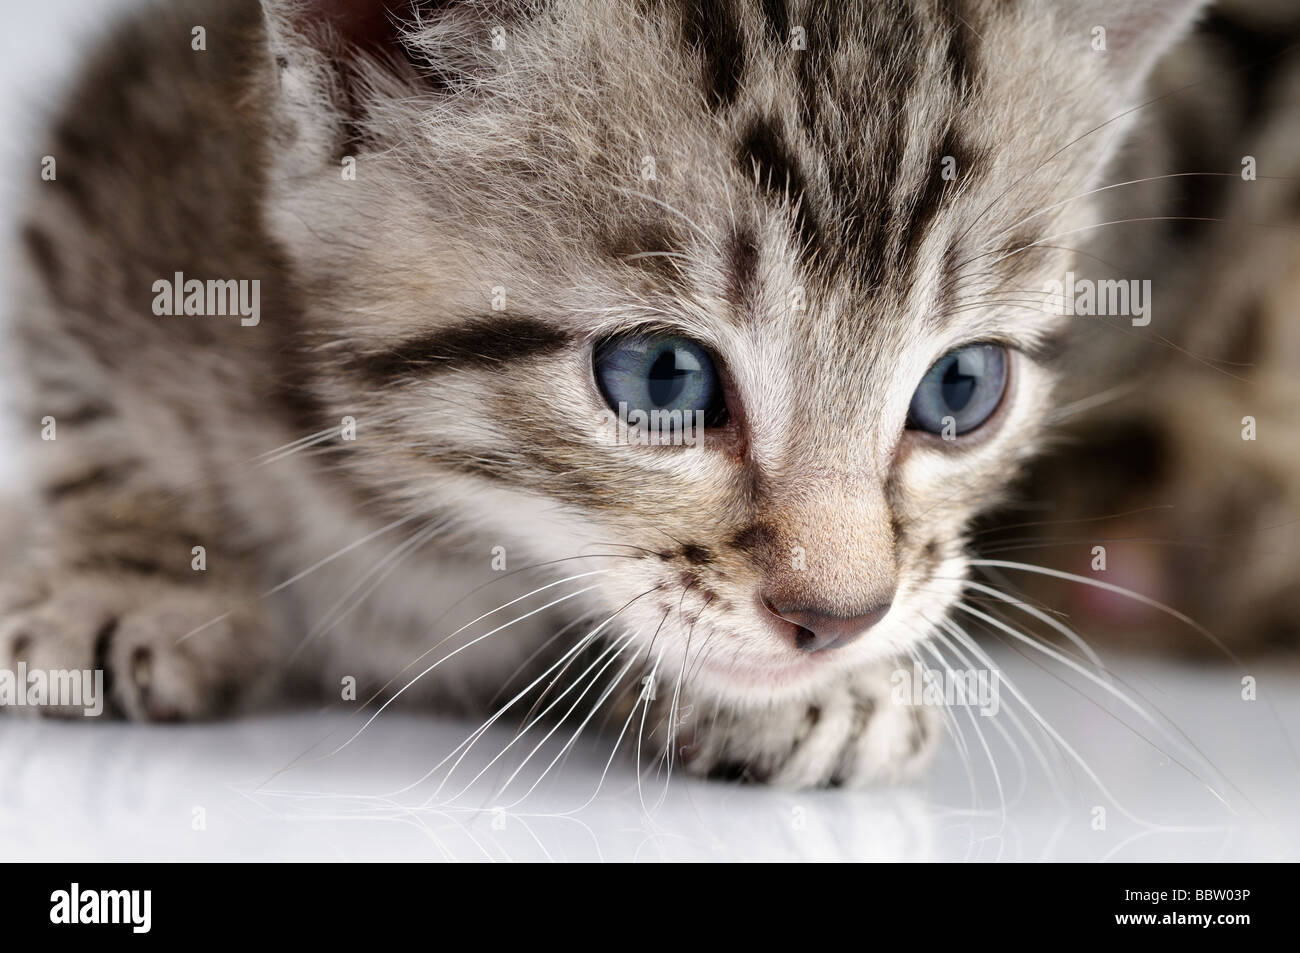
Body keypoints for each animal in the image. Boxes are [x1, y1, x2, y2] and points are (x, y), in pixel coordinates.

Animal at [0, 0, 1201, 785]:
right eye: (661, 376)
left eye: (963, 385)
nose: (838, 619)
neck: (426, 527)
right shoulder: (104, 189)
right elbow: (77, 413)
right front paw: (124, 570)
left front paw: (803, 692)